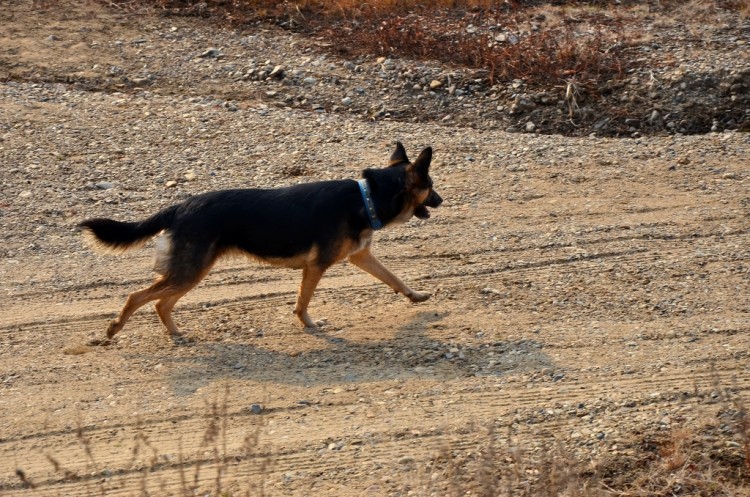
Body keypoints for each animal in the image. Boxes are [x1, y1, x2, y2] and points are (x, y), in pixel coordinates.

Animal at [81, 141, 446, 340]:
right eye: (431, 187)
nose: (443, 201)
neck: (368, 196)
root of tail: (181, 206)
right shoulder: (316, 266)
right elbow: (303, 302)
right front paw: (310, 324)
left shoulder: (360, 257)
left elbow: (394, 277)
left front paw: (415, 296)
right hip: (190, 271)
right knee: (137, 296)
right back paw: (114, 328)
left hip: (192, 272)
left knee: (160, 303)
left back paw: (176, 333)